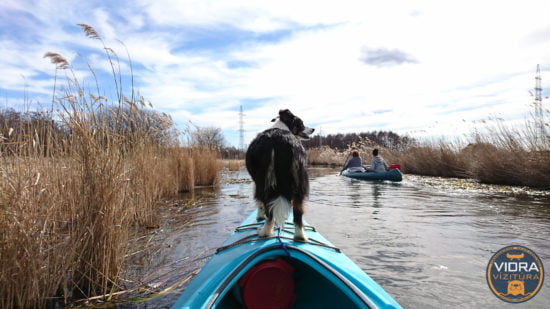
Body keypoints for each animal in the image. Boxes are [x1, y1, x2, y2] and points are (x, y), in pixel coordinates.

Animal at [246, 109, 314, 239]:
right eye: (301, 123)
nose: (313, 129)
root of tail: (281, 139)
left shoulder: (256, 182)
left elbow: (260, 204)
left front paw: (259, 216)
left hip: (264, 180)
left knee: (269, 211)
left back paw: (265, 232)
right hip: (299, 180)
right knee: (298, 213)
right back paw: (300, 236)